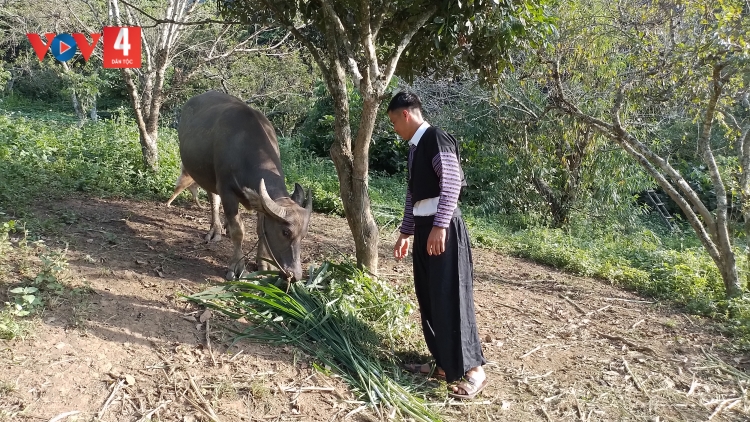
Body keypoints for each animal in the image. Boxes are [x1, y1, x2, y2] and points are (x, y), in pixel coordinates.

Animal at [178, 91, 312, 282]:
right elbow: (238, 230)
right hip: (207, 176)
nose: (295, 275)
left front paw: (264, 264)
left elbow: (260, 230)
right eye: (286, 232)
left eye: (304, 234)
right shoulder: (227, 190)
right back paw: (216, 230)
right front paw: (237, 267)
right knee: (213, 199)